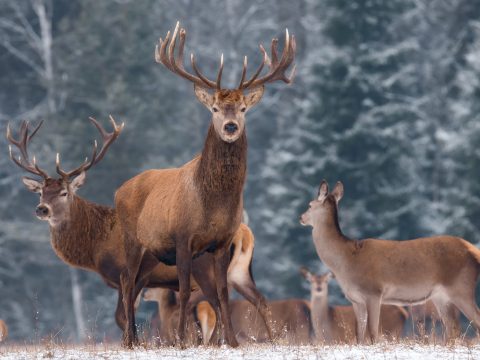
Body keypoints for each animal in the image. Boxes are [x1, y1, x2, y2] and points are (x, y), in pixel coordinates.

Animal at [302, 180, 480, 344]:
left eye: (310, 205)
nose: (301, 217)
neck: (346, 260)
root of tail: (475, 252)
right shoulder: (356, 300)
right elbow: (359, 335)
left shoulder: (373, 292)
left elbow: (373, 333)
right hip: (441, 296)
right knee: (453, 328)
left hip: (461, 287)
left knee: (474, 321)